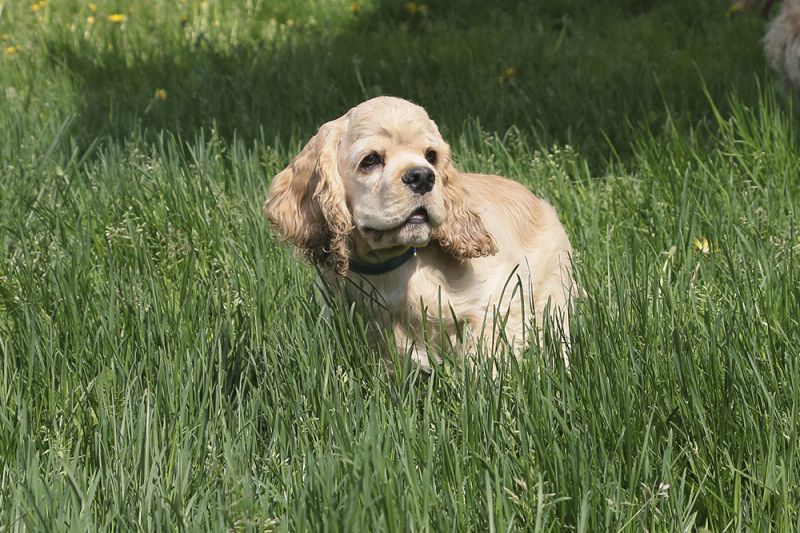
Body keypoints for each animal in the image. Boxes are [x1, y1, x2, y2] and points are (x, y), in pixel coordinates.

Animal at [266, 96, 572, 370]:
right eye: (370, 160)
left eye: (431, 156)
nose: (423, 176)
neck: (393, 267)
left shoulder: (496, 300)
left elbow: (486, 360)